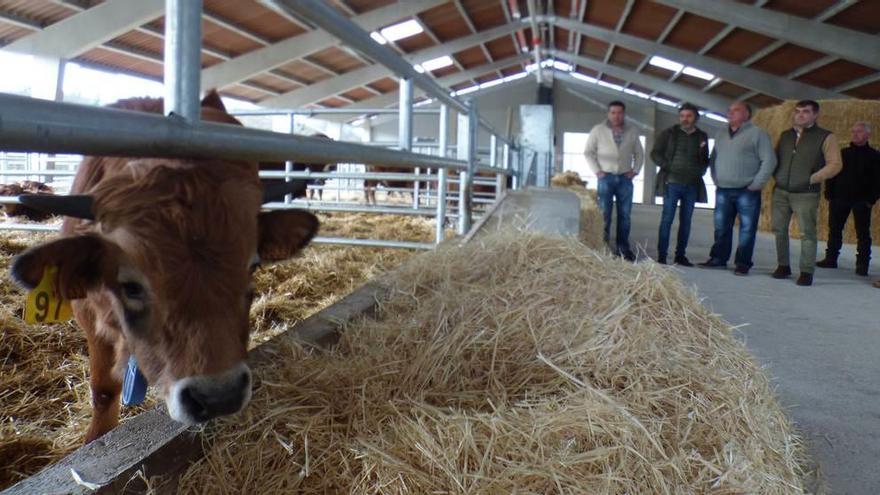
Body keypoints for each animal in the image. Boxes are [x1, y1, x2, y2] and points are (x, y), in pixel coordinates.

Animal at [10, 91, 320, 444]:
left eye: (252, 266)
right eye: (130, 286)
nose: (219, 396)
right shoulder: (89, 316)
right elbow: (103, 391)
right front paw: (95, 437)